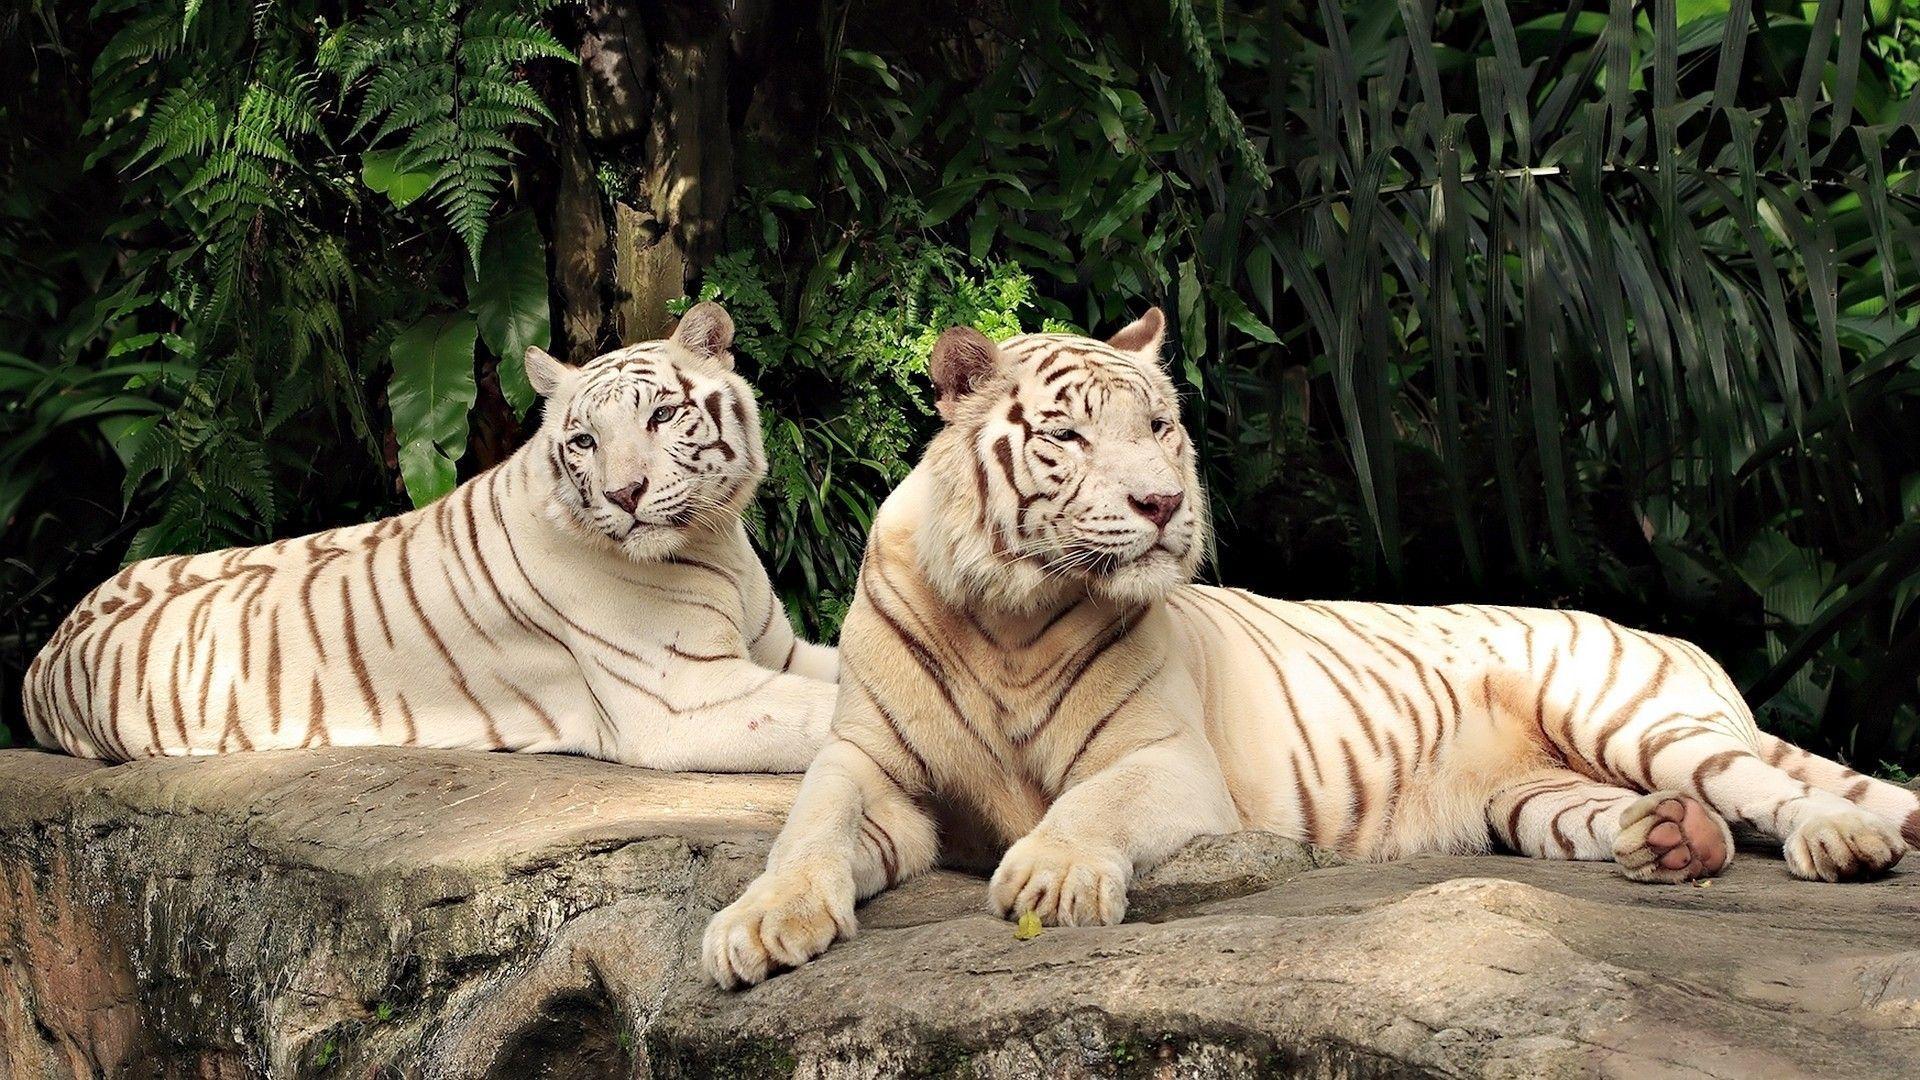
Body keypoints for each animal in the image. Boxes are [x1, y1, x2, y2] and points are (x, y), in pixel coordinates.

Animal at [23, 302, 838, 772]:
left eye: (662, 416)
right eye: (583, 441)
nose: (622, 495)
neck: (713, 540)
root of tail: (44, 654)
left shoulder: (775, 650)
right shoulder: (686, 697)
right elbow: (828, 713)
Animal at [702, 306, 1919, 989]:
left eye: (1159, 427)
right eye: (1068, 437)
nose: (1161, 504)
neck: (1006, 610)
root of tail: (1675, 638)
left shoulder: (1162, 761)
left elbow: (1088, 807)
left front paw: (1051, 874)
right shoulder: (870, 763)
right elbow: (806, 830)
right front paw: (756, 929)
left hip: (1630, 715)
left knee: (1772, 784)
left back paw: (1841, 843)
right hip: (1532, 798)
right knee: (1656, 815)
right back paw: (1673, 844)